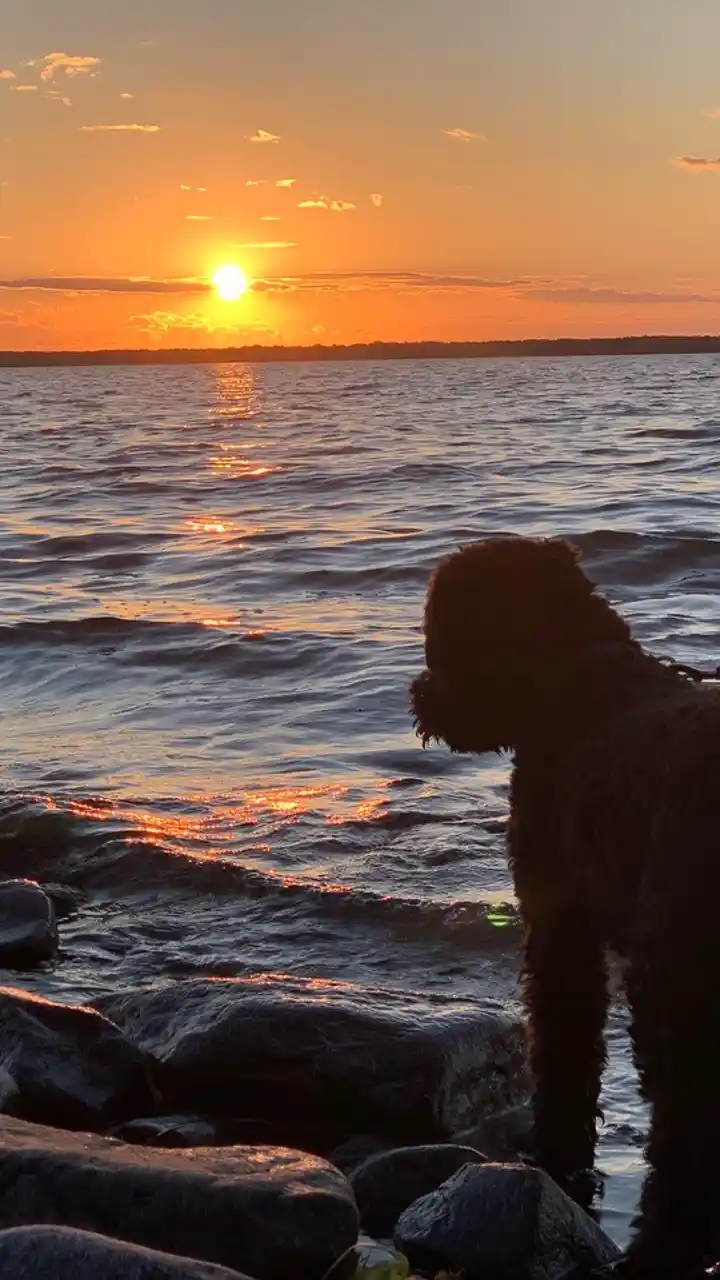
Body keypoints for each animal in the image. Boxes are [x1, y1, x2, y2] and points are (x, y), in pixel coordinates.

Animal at [410, 535, 720, 1279]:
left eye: (442, 634)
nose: (420, 694)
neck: (574, 681)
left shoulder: (559, 923)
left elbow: (565, 1038)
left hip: (675, 972)